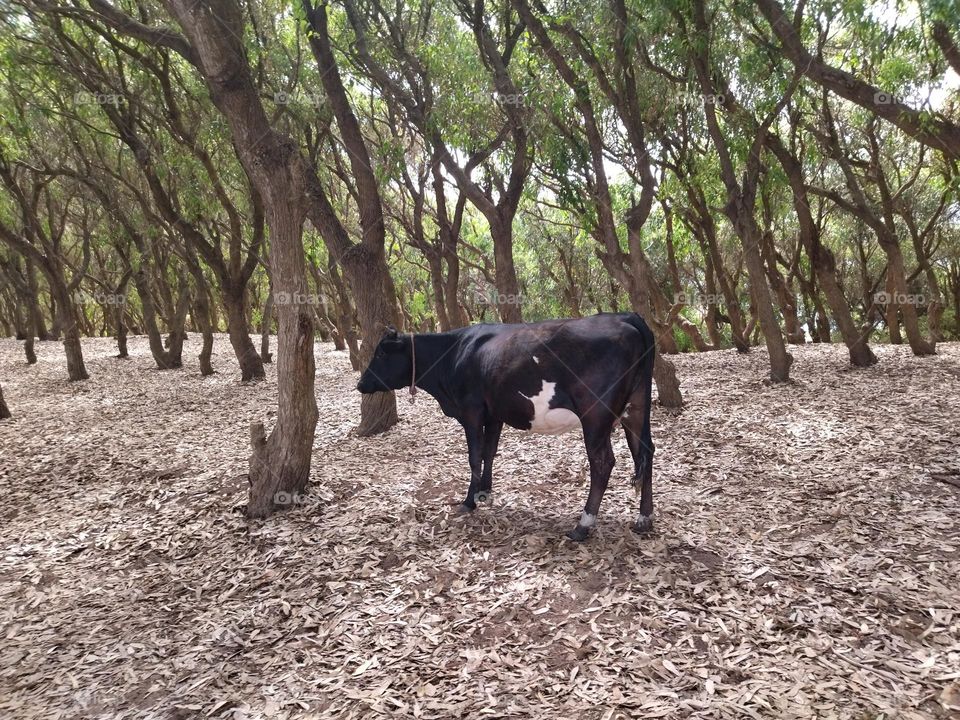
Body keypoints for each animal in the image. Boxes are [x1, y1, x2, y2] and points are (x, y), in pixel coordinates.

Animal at [356, 312, 657, 541]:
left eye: (381, 353)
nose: (361, 384)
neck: (453, 354)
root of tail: (624, 316)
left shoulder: (472, 410)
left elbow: (474, 456)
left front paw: (469, 501)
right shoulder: (494, 414)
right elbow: (489, 452)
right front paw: (484, 492)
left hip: (595, 415)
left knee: (603, 462)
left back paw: (583, 525)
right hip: (636, 407)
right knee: (645, 451)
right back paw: (644, 518)